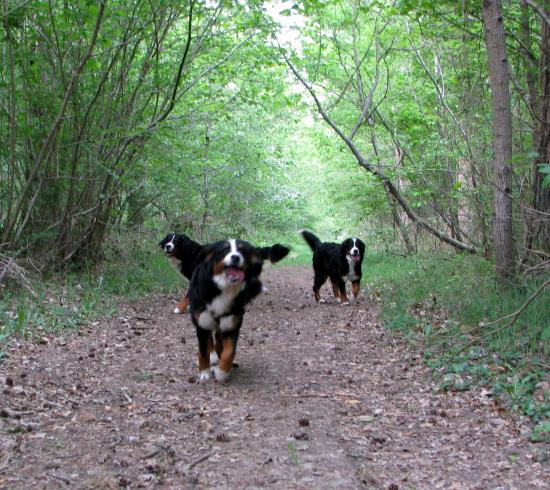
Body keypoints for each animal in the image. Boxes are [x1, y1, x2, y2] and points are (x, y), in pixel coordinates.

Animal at [190, 238, 292, 382]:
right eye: (224, 250)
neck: (224, 289)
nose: (235, 257)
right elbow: (203, 351)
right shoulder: (202, 321)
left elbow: (229, 352)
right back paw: (214, 356)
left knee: (219, 339)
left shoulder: (232, 324)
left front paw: (222, 372)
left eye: (242, 251)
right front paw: (204, 372)